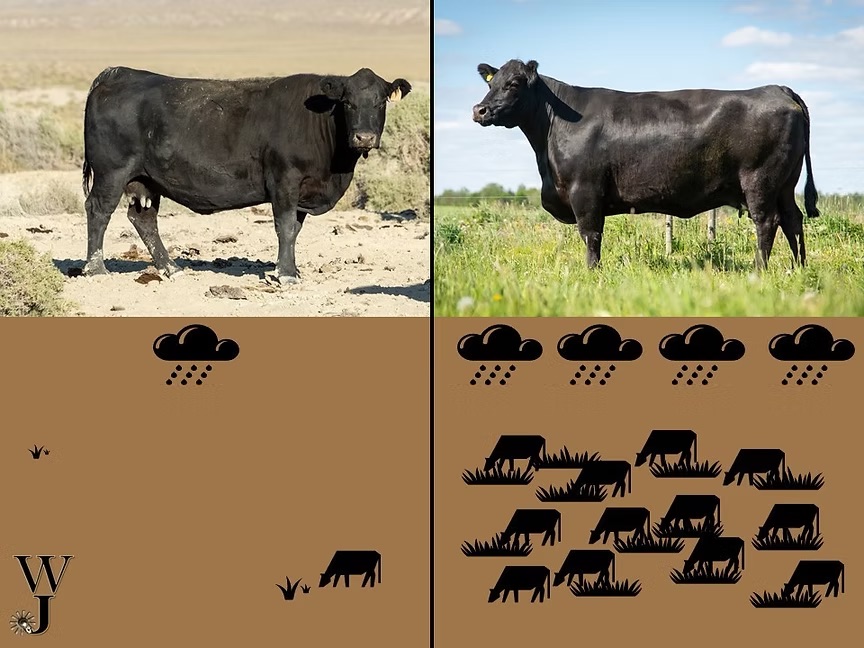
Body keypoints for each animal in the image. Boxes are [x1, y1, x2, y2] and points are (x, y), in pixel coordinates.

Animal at [81, 66, 412, 283]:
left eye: (380, 102)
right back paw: (96, 269)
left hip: (146, 180)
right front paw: (286, 274)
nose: (364, 137)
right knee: (98, 210)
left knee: (143, 219)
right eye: (347, 102)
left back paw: (171, 268)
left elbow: (295, 230)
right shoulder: (285, 181)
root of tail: (117, 74)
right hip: (112, 172)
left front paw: (291, 268)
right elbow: (285, 227)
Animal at [472, 59, 818, 270]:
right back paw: (798, 268)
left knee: (767, 221)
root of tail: (777, 89)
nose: (480, 110)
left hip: (760, 179)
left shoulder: (585, 190)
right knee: (793, 219)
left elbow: (591, 234)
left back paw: (760, 270)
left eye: (514, 84)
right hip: (785, 183)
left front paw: (592, 272)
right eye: (490, 84)